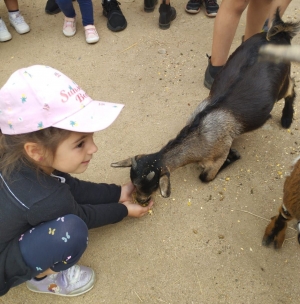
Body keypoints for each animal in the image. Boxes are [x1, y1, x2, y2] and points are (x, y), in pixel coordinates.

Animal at [111, 11, 298, 207]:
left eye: (153, 186)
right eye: (133, 183)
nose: (141, 201)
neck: (201, 133)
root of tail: (278, 35)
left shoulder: (218, 156)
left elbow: (205, 177)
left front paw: (234, 155)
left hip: (282, 83)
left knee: (291, 86)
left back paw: (286, 118)